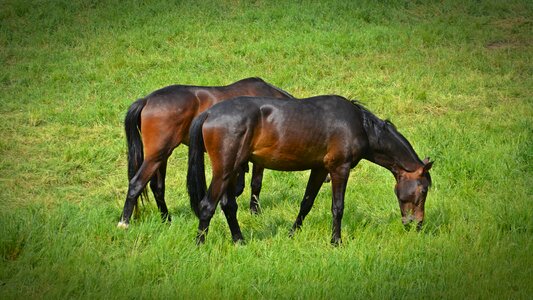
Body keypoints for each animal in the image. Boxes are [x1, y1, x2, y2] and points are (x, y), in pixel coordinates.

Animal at [117, 77, 296, 227]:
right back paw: (124, 223)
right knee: (136, 184)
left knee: (157, 187)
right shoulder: (258, 160)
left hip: (162, 155)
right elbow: (255, 184)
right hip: (157, 155)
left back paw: (167, 220)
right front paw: (255, 213)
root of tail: (146, 100)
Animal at [185, 95, 430, 245]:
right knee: (207, 206)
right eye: (424, 190)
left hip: (233, 170)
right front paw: (336, 241)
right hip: (225, 170)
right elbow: (338, 207)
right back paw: (200, 245)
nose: (418, 224)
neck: (360, 125)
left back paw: (240, 241)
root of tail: (209, 113)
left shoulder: (320, 169)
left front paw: (292, 233)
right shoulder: (340, 169)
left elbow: (306, 203)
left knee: (228, 205)